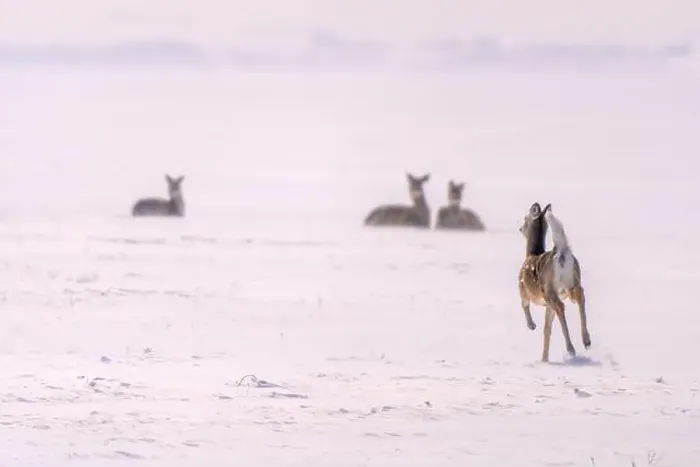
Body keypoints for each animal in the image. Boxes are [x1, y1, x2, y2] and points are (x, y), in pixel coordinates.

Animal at [518, 202, 591, 362]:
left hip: (549, 289)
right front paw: (544, 359)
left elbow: (524, 305)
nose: (520, 228)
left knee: (561, 306)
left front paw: (531, 325)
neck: (531, 254)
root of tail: (561, 253)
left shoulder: (522, 288)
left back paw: (571, 348)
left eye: (525, 219)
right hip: (573, 280)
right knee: (580, 296)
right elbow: (547, 329)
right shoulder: (548, 306)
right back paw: (586, 341)